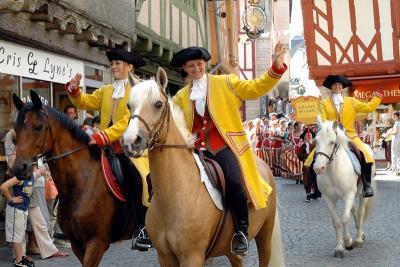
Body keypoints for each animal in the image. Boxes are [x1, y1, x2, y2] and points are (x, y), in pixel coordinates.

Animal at [12, 90, 139, 267]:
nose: (19, 168)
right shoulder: (77, 244)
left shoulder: (97, 243)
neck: (80, 185)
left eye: (38, 127)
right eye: (16, 129)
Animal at [122, 68, 284, 267]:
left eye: (158, 104)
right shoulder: (165, 257)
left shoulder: (192, 256)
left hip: (265, 235)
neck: (176, 191)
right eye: (129, 105)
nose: (130, 141)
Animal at [312, 118, 376, 260]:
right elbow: (336, 222)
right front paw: (339, 248)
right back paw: (359, 233)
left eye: (332, 142)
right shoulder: (328, 199)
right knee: (354, 210)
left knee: (360, 211)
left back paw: (358, 239)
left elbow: (345, 219)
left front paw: (348, 243)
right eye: (316, 140)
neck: (333, 171)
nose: (318, 168)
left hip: (361, 193)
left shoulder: (348, 195)